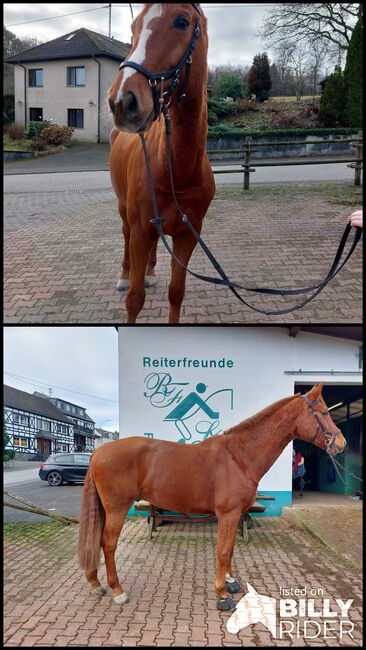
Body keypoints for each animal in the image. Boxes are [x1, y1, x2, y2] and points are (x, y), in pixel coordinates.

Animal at [78, 380, 344, 608]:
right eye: (324, 412)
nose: (341, 443)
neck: (239, 456)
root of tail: (98, 452)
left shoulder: (235, 515)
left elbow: (231, 548)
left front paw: (230, 582)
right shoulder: (228, 514)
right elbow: (223, 551)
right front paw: (222, 595)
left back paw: (95, 583)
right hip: (117, 508)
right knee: (108, 544)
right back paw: (117, 590)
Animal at [107, 2, 214, 322]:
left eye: (182, 21)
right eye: (134, 27)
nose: (121, 101)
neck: (177, 173)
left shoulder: (188, 235)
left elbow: (176, 293)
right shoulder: (141, 231)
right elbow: (134, 298)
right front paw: (131, 284)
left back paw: (151, 272)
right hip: (125, 212)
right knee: (125, 236)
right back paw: (124, 275)